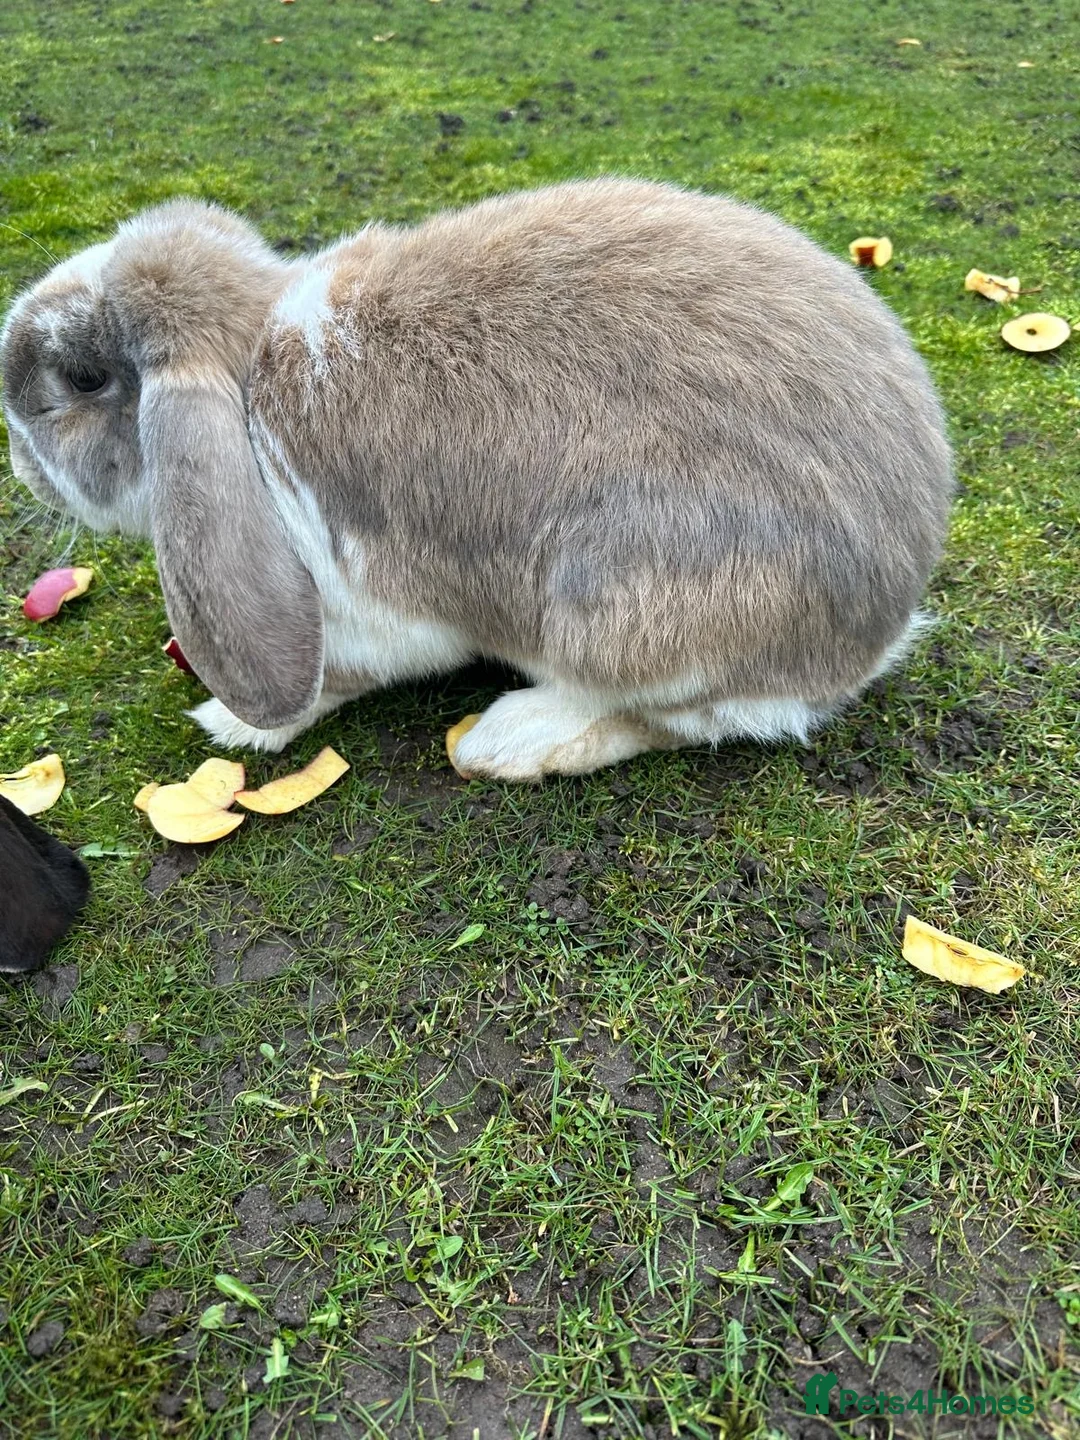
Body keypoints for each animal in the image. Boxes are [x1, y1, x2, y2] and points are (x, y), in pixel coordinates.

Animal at [1, 179, 953, 780]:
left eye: (84, 379)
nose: (14, 455)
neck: (249, 379)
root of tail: (881, 621)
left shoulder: (367, 608)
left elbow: (340, 677)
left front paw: (234, 724)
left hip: (616, 607)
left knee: (687, 715)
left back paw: (510, 743)